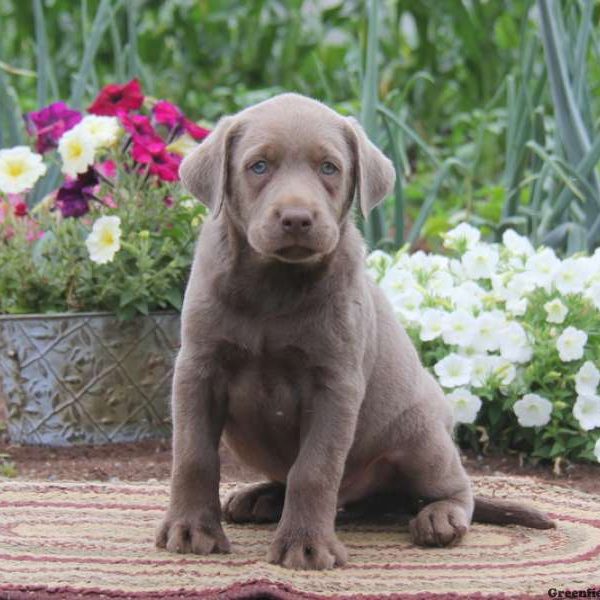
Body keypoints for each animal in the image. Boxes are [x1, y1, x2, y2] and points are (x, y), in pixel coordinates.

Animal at [156, 94, 552, 572]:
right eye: (258, 166)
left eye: (329, 168)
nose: (297, 219)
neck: (275, 286)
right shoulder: (198, 369)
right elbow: (193, 454)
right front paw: (191, 530)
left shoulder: (336, 384)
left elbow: (315, 468)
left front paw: (306, 547)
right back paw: (260, 497)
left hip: (420, 433)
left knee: (454, 488)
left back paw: (440, 517)